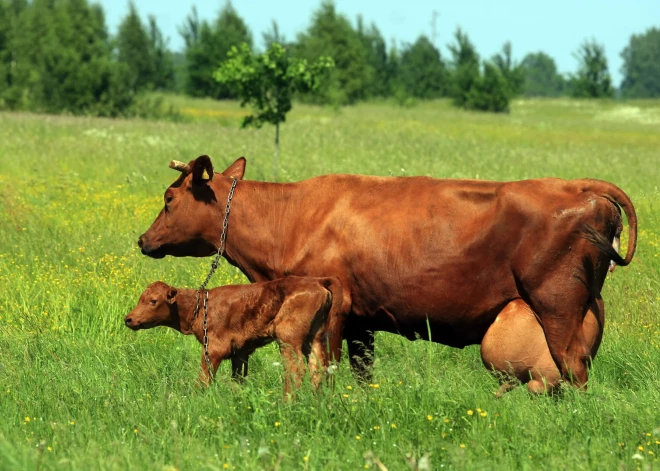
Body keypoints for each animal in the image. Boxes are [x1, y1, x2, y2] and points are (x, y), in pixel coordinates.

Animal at [122, 276, 346, 394]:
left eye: (152, 301)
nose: (128, 319)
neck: (199, 307)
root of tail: (318, 281)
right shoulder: (240, 353)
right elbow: (238, 379)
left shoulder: (213, 349)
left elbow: (204, 378)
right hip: (314, 338)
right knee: (317, 369)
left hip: (288, 337)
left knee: (295, 369)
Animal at [138, 157, 636, 390]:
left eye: (168, 198)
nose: (143, 240)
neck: (289, 218)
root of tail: (580, 187)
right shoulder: (362, 320)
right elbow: (361, 372)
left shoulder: (336, 309)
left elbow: (326, 367)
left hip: (558, 307)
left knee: (573, 369)